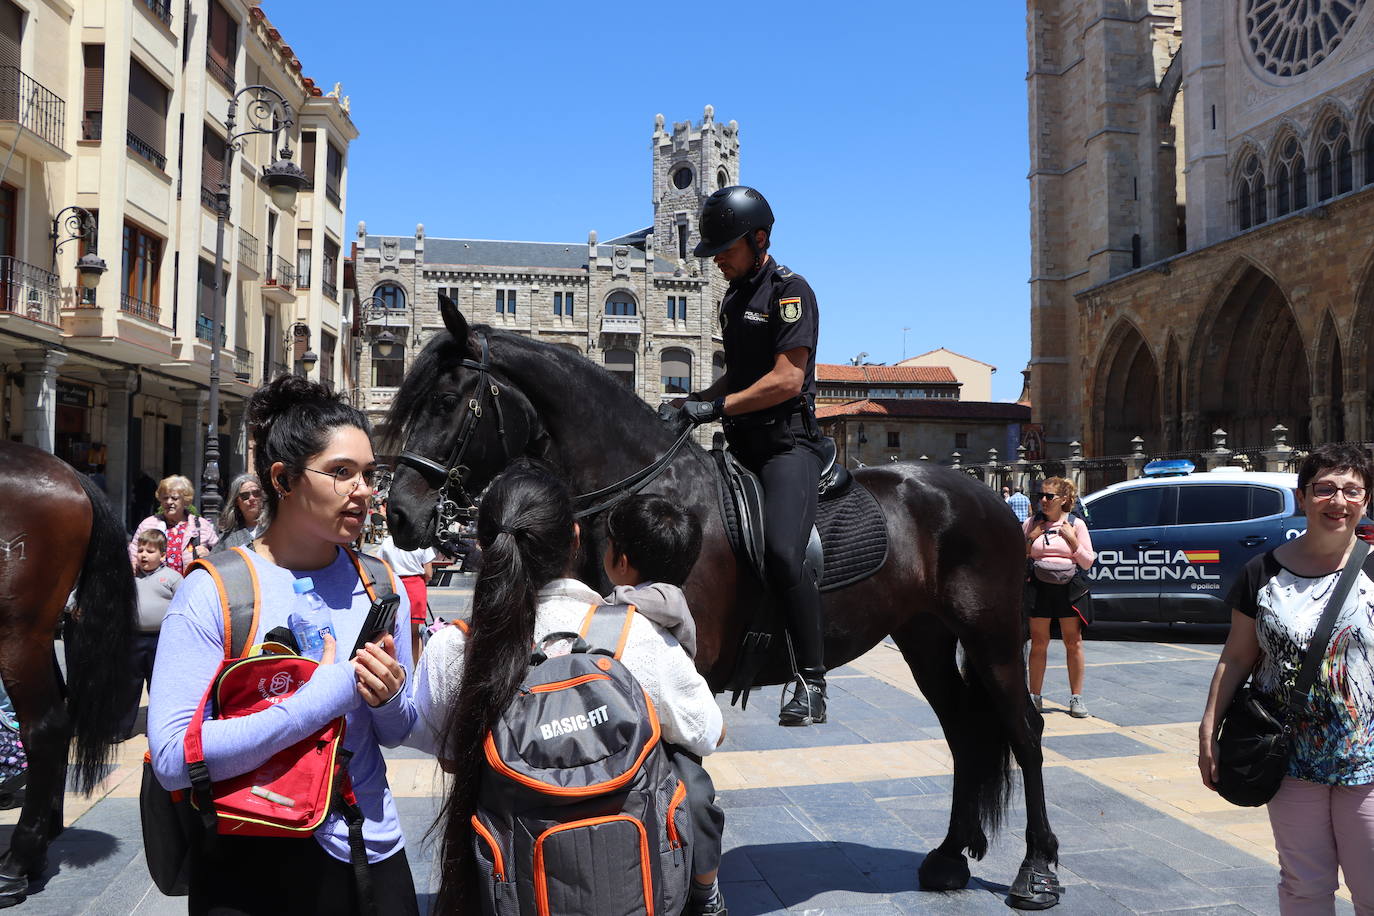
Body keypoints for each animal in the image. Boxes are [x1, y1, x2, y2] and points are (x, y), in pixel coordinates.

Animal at [387, 300, 1060, 911]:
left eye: (444, 402)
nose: (398, 514)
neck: (652, 494)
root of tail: (985, 495)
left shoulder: (689, 668)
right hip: (925, 638)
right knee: (965, 731)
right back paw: (950, 856)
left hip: (995, 637)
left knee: (1024, 730)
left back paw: (1037, 869)